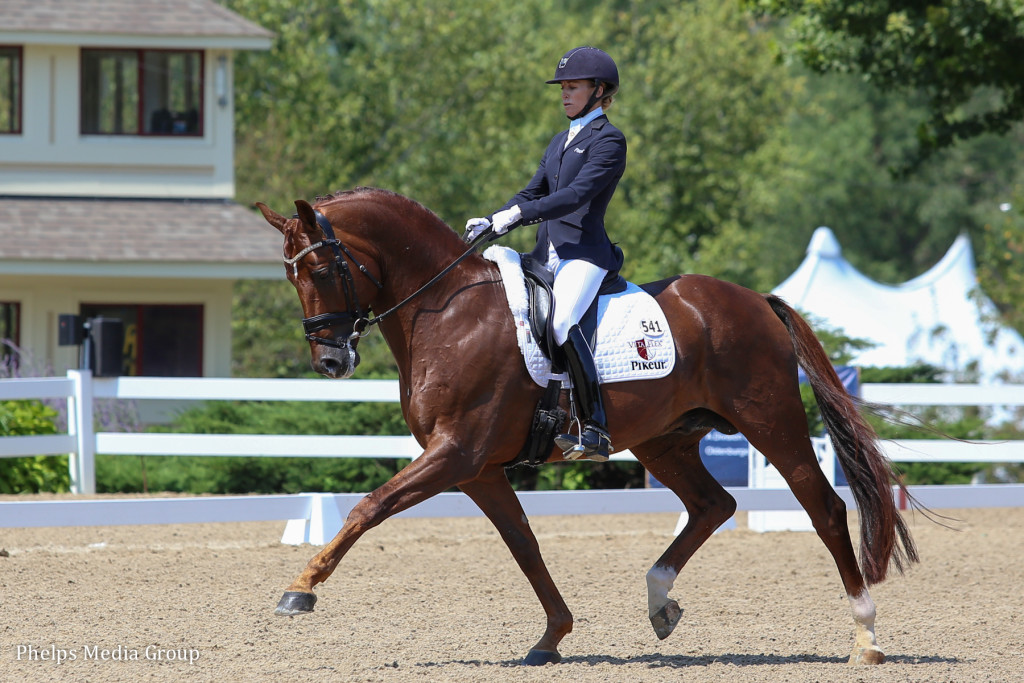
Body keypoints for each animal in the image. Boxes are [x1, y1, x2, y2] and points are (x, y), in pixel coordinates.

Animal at [255, 187, 918, 666]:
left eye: (321, 271)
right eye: (290, 277)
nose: (330, 362)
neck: (446, 312)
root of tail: (756, 299)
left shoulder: (455, 454)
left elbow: (368, 507)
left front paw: (300, 589)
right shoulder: (477, 470)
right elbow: (523, 544)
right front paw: (552, 636)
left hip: (769, 420)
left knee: (823, 509)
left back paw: (866, 637)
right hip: (664, 440)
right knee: (713, 505)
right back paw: (660, 603)